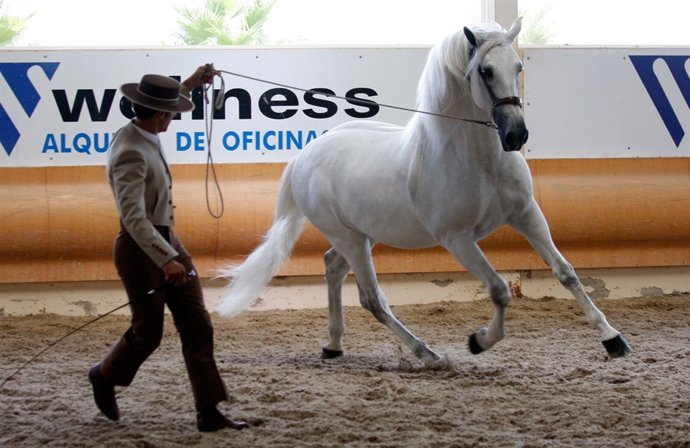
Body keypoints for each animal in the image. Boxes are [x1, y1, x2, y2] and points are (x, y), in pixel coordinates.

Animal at [217, 18, 631, 363]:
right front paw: (479, 341)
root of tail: (305, 156)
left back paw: (334, 345)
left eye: (518, 67)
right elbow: (499, 290)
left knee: (333, 266)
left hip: (363, 234)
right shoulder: (458, 238)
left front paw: (613, 339)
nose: (516, 135)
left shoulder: (526, 214)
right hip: (351, 239)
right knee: (372, 298)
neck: (479, 162)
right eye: (485, 71)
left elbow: (566, 272)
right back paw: (427, 354)